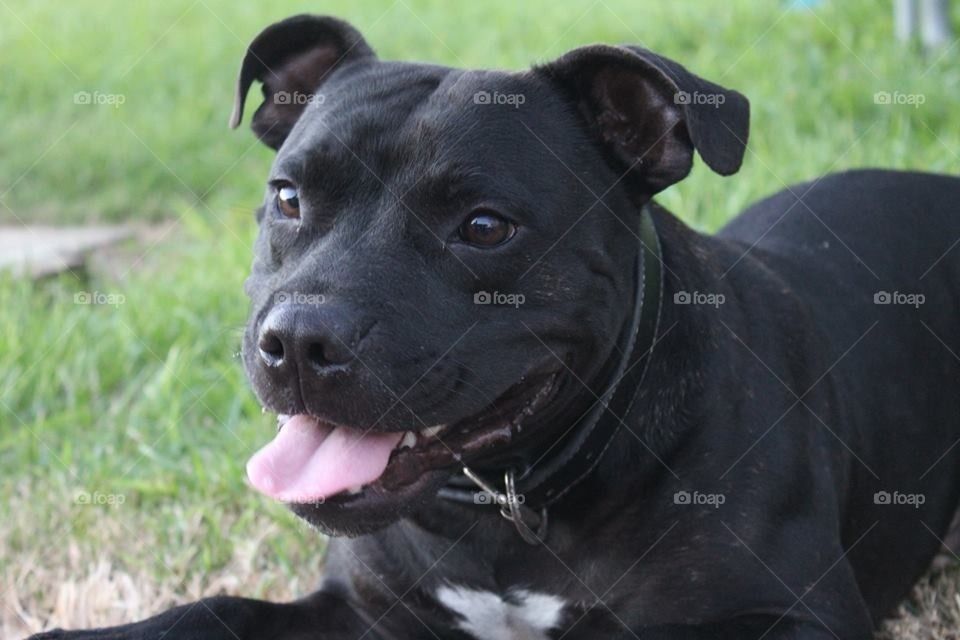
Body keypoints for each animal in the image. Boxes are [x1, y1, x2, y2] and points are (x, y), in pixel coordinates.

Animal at [35, 12, 960, 636]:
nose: (298, 340)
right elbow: (207, 610)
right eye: (288, 198)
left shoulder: (790, 613)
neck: (510, 501)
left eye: (484, 227)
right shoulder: (361, 608)